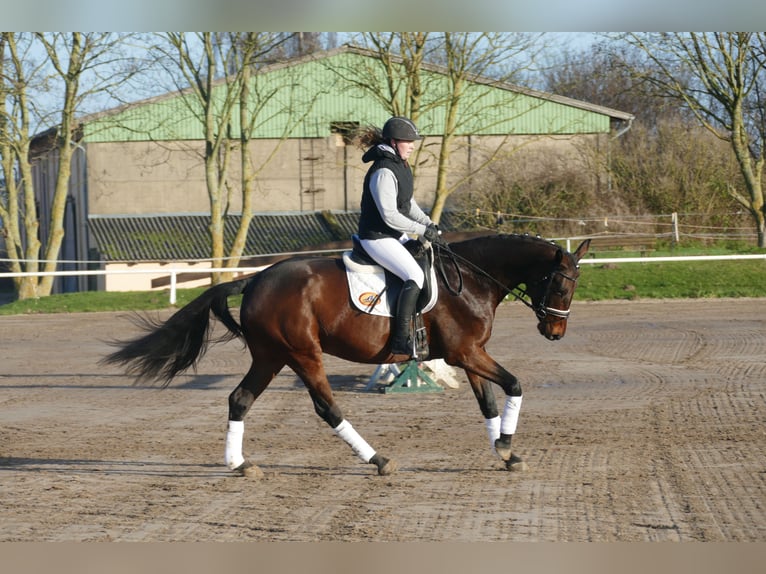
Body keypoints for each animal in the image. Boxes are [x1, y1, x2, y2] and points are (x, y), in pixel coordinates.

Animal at [103, 234, 592, 476]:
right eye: (561, 285)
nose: (555, 332)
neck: (470, 278)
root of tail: (256, 278)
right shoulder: (465, 352)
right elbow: (514, 384)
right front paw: (507, 446)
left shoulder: (471, 354)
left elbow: (489, 402)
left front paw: (505, 453)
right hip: (302, 354)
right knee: (327, 407)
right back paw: (378, 460)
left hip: (270, 357)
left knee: (239, 400)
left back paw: (240, 465)